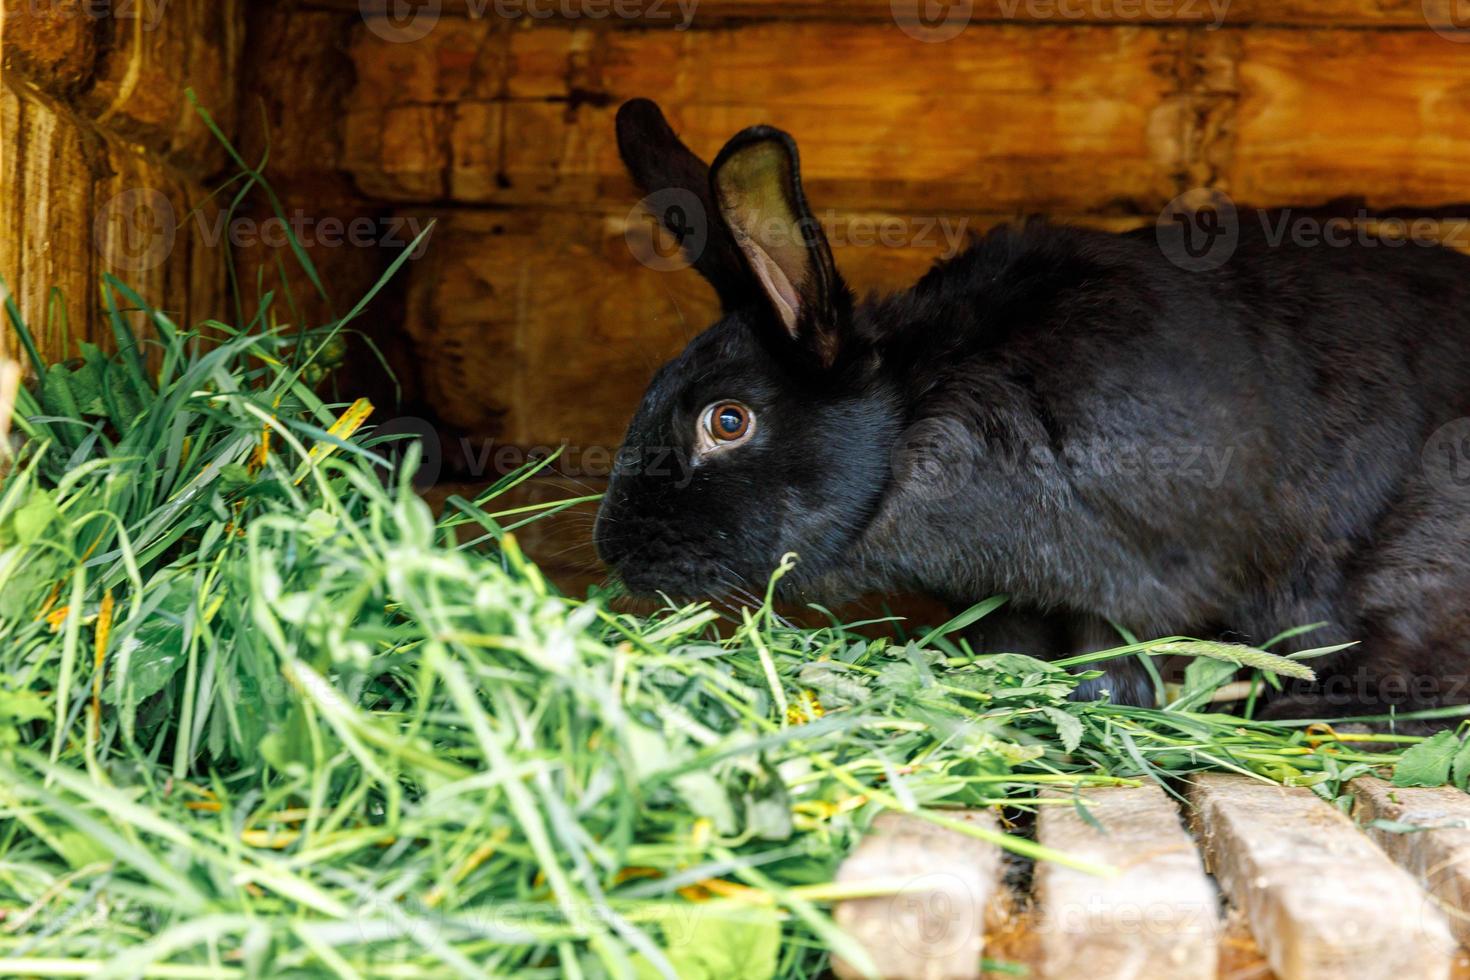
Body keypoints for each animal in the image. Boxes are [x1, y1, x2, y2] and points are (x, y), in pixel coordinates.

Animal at [593, 97, 1470, 719]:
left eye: (727, 421)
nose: (614, 551)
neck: (917, 415)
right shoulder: (999, 595)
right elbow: (1006, 644)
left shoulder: (1136, 577)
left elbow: (1115, 651)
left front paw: (1096, 702)